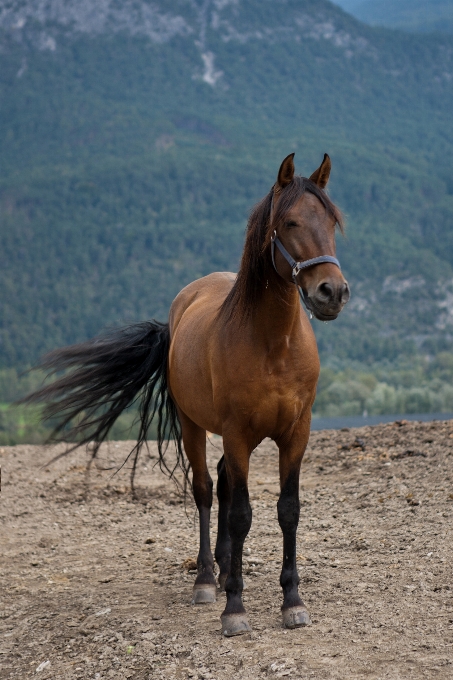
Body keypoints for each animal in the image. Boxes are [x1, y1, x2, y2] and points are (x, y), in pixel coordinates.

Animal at [23, 151, 350, 636]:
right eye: (290, 222)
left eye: (331, 220)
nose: (332, 292)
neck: (273, 344)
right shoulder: (236, 433)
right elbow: (240, 514)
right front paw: (234, 608)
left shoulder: (297, 433)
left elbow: (287, 509)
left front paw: (292, 600)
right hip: (193, 425)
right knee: (206, 490)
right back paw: (208, 579)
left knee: (224, 485)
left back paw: (224, 564)